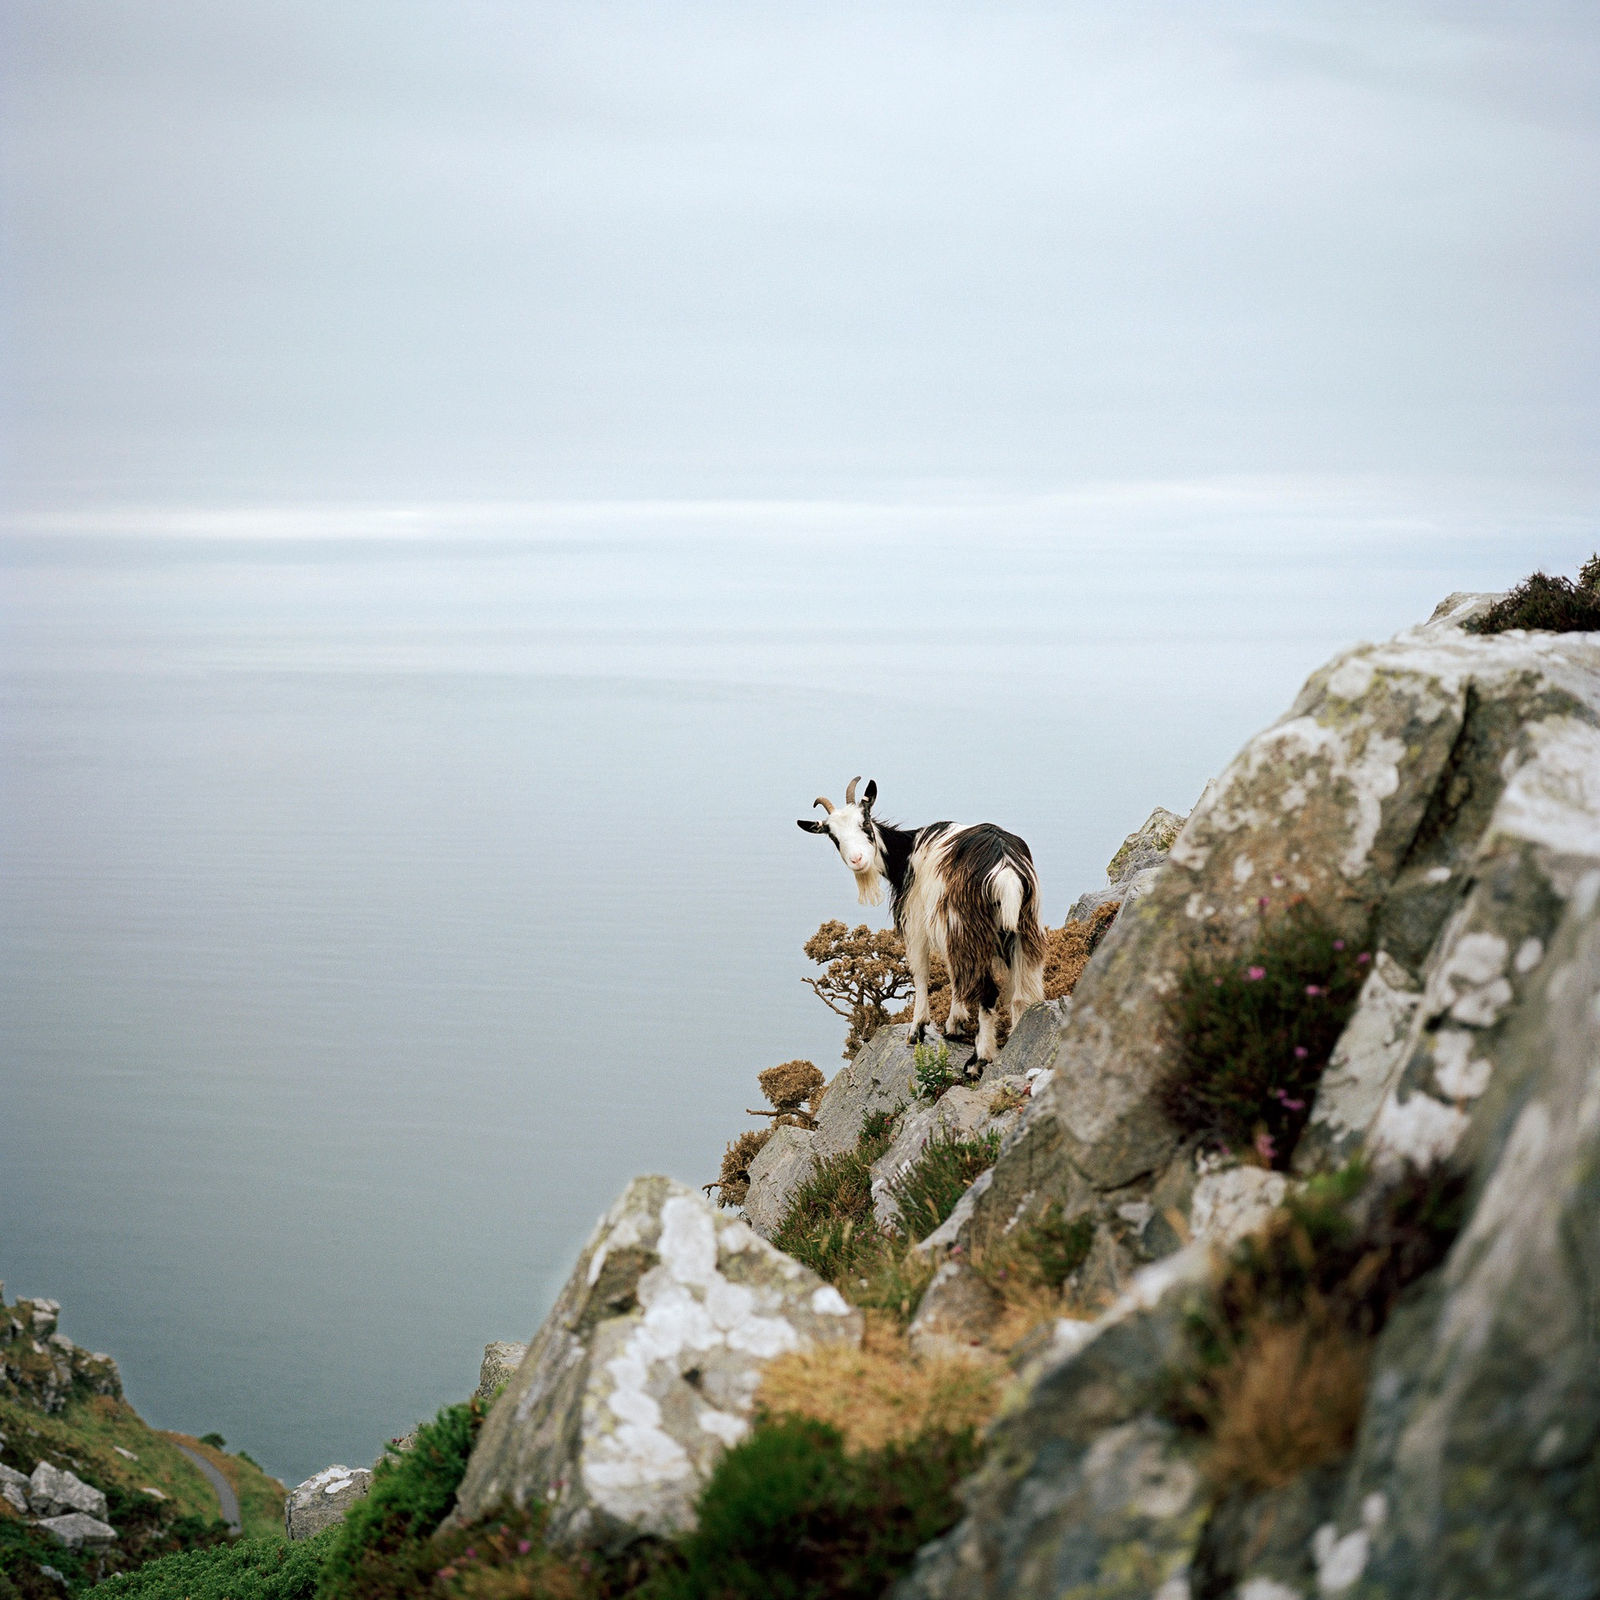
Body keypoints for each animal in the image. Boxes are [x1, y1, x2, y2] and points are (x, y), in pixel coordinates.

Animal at [797, 776, 1046, 1069]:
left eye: (865, 822)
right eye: (833, 836)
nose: (857, 860)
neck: (909, 853)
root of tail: (1004, 869)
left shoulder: (918, 921)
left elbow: (921, 971)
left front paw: (917, 1029)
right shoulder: (946, 927)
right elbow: (953, 971)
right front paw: (955, 1024)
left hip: (969, 927)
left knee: (988, 991)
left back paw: (979, 1060)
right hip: (1021, 928)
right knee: (1020, 993)